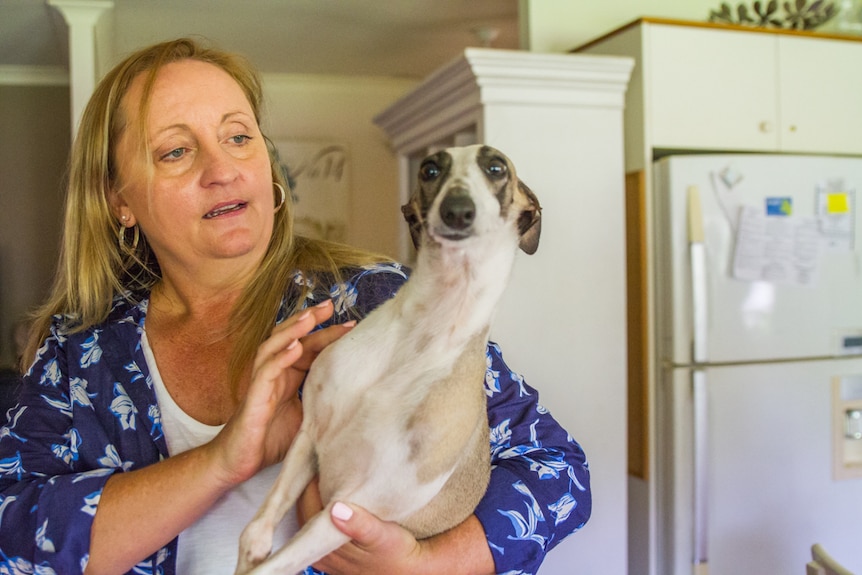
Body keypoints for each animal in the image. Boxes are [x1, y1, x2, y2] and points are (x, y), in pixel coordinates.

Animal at [233, 145, 544, 575]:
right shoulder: (311, 436)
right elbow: (263, 521)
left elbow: (275, 566)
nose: (457, 210)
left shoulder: (351, 510)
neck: (419, 339)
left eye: (496, 166)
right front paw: (254, 545)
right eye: (429, 169)